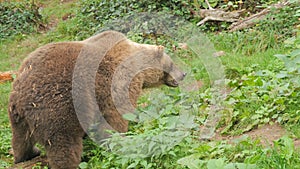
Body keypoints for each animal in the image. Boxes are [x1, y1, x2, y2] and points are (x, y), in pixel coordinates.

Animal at [8, 29, 184, 168]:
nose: (183, 74)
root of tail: (22, 92)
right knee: (63, 145)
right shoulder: (115, 84)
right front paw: (119, 140)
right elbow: (117, 116)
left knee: (21, 139)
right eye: (172, 63)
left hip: (17, 114)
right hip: (58, 106)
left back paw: (27, 155)